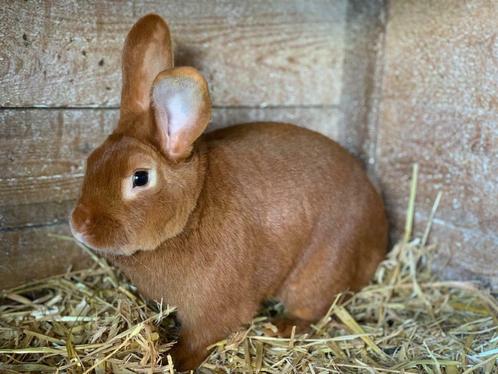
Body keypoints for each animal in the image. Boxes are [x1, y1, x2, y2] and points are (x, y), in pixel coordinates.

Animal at [70, 13, 390, 370]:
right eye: (92, 159)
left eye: (140, 177)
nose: (78, 225)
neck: (191, 210)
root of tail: (380, 230)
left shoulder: (214, 309)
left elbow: (200, 338)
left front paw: (173, 360)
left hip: (320, 271)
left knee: (314, 307)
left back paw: (281, 326)